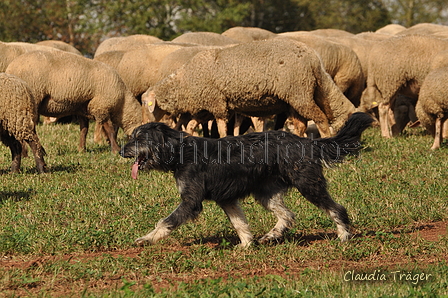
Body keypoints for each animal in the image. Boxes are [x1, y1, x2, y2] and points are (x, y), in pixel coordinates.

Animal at [5, 49, 142, 152]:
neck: (122, 102)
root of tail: (10, 68)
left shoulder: (83, 108)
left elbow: (84, 130)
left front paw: (82, 149)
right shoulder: (101, 106)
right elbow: (110, 130)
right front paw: (116, 150)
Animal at [120, 112, 374, 247]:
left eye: (139, 138)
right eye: (132, 136)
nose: (122, 151)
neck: (180, 150)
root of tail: (306, 142)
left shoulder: (191, 201)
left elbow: (165, 222)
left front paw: (146, 238)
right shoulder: (227, 198)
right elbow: (239, 223)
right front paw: (246, 245)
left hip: (308, 185)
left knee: (336, 208)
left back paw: (343, 235)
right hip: (266, 193)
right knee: (287, 215)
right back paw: (272, 234)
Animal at [142, 37, 356, 139]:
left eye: (145, 104)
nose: (141, 127)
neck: (184, 82)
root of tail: (313, 58)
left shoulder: (217, 104)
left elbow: (221, 129)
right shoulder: (207, 108)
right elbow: (192, 125)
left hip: (299, 93)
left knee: (320, 118)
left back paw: (325, 140)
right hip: (295, 97)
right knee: (302, 124)